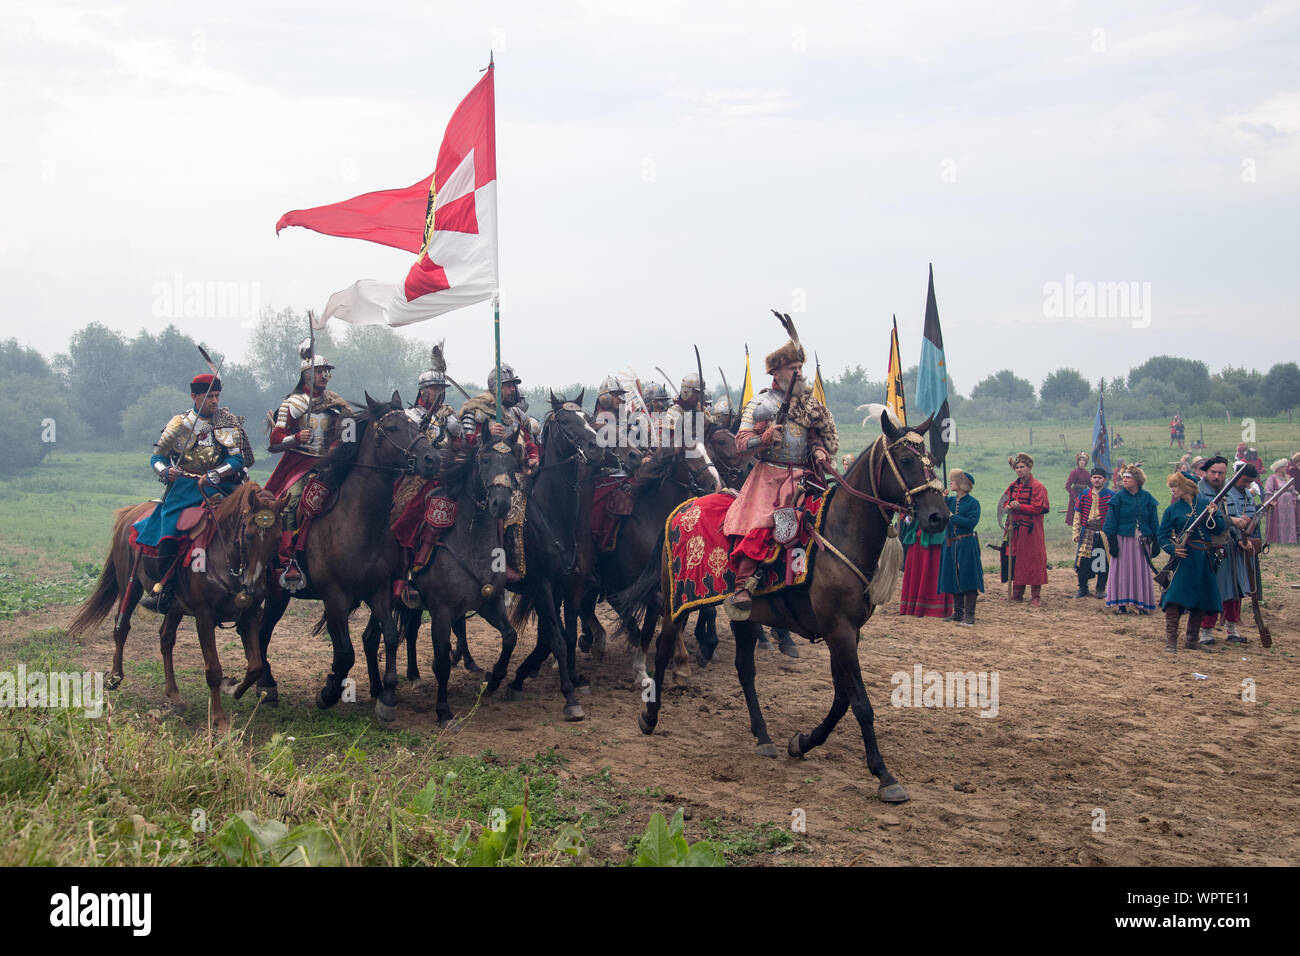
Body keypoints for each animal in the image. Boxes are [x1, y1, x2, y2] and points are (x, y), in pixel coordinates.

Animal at [67, 481, 287, 738]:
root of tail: (131, 512)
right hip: (129, 586)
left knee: (166, 639)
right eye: (249, 536)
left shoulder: (248, 615)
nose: (254, 587)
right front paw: (219, 720)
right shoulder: (204, 616)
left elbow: (255, 667)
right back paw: (115, 677)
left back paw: (174, 694)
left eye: (278, 538)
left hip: (175, 607)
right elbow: (213, 670)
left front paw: (232, 688)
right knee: (121, 628)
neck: (224, 557)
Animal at [254, 390, 441, 717]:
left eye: (414, 425)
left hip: (280, 594)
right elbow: (345, 652)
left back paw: (266, 684)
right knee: (261, 630)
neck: (359, 521)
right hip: (274, 589)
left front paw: (387, 695)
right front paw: (328, 692)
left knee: (263, 630)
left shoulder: (379, 591)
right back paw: (265, 684)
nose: (432, 459)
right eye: (392, 428)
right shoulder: (335, 596)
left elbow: (388, 636)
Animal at [613, 416, 951, 806]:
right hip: (676, 603)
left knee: (745, 671)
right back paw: (650, 716)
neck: (840, 533)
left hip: (743, 616)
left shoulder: (847, 632)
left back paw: (762, 736)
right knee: (665, 649)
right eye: (907, 461)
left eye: (930, 458)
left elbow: (841, 699)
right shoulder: (839, 630)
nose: (939, 516)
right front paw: (884, 775)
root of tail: (683, 506)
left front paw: (802, 742)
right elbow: (860, 703)